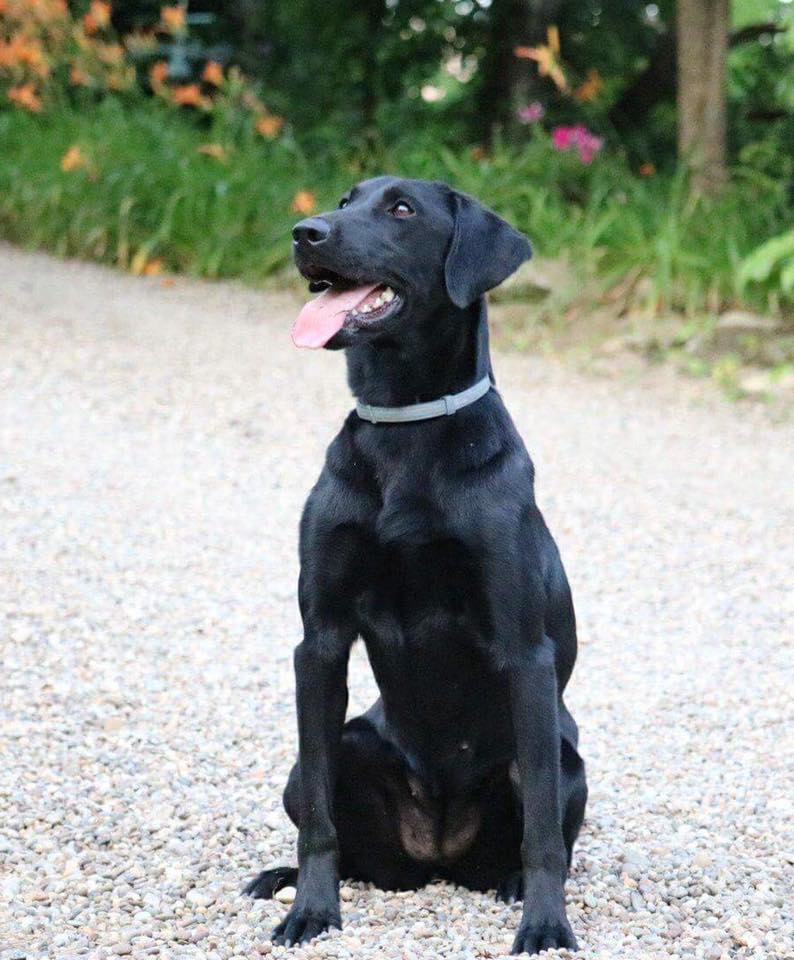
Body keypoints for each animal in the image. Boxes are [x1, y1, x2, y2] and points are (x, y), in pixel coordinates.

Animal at [244, 178, 584, 952]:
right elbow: (320, 821)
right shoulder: (319, 642)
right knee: (335, 823)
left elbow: (542, 830)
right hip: (330, 752)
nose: (305, 232)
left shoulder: (525, 652)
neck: (407, 428)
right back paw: (284, 878)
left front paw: (545, 923)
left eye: (401, 210)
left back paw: (513, 886)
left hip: (568, 755)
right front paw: (312, 911)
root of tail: (437, 856)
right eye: (346, 199)